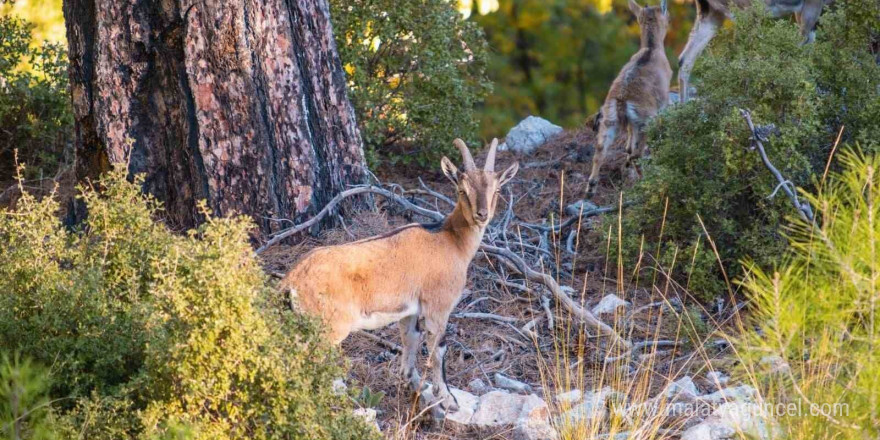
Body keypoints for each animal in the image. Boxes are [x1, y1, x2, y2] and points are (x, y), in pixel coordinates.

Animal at [280, 140, 516, 416]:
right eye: (462, 190)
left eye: (497, 189)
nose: (482, 215)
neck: (450, 241)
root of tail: (292, 280)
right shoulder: (438, 307)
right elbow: (438, 349)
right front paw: (448, 399)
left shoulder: (409, 311)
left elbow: (410, 340)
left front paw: (413, 385)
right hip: (328, 328)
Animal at [588, 0, 672, 196]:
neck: (651, 49)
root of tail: (622, 100)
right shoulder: (663, 101)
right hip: (644, 121)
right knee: (636, 154)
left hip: (610, 121)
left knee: (600, 150)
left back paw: (591, 188)